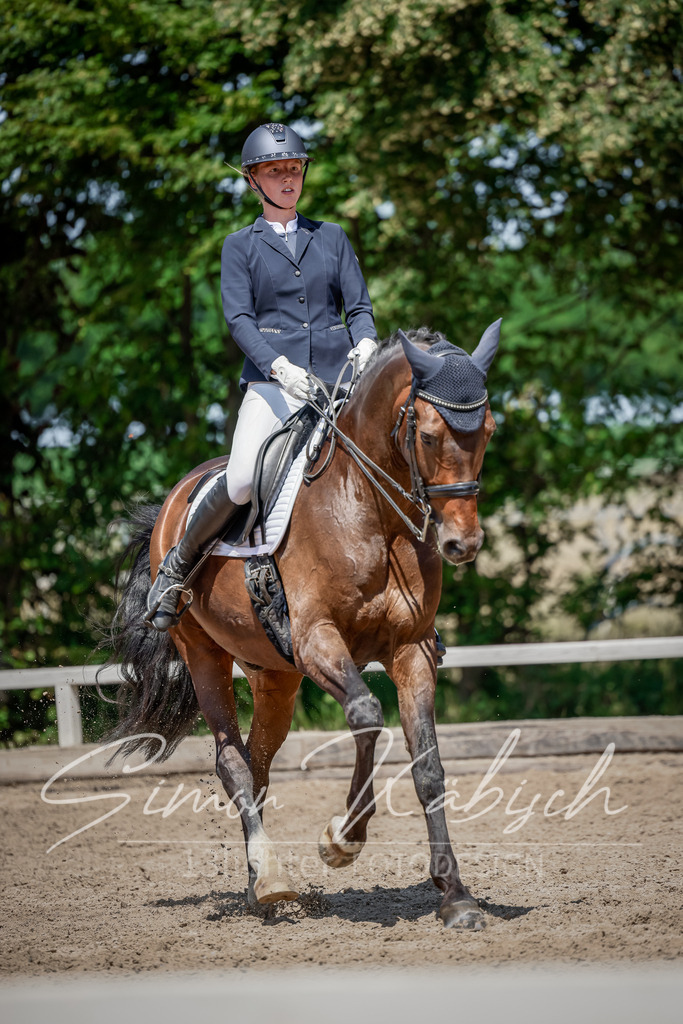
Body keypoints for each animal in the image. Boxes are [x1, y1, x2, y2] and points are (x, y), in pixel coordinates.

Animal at [105, 321, 500, 929]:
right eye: (431, 436)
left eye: (489, 431)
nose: (462, 543)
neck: (370, 510)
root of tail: (177, 495)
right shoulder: (317, 642)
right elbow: (366, 715)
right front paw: (342, 838)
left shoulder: (410, 649)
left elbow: (428, 764)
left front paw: (455, 897)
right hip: (204, 654)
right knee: (232, 762)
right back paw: (271, 882)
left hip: (275, 676)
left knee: (258, 762)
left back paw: (257, 882)